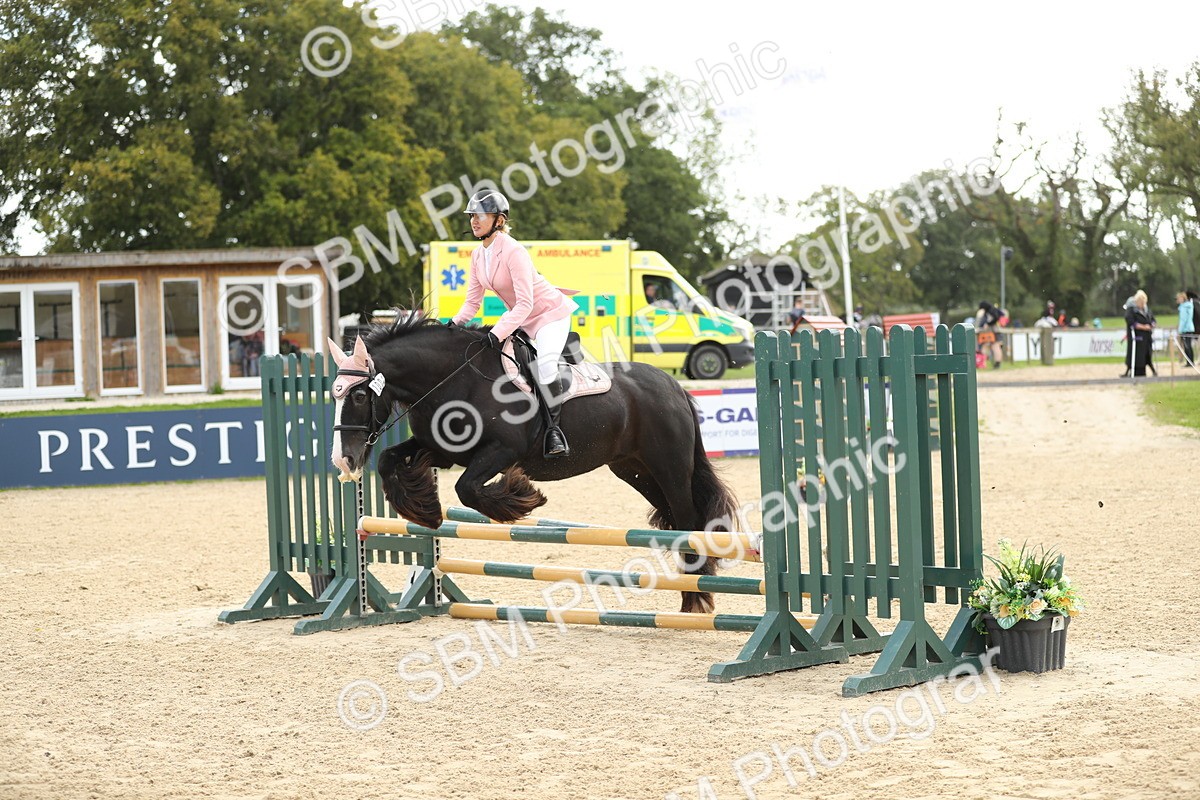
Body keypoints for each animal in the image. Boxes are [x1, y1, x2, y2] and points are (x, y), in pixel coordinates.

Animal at [327, 312, 739, 613]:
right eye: (335, 395)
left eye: (360, 395)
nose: (343, 460)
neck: (453, 380)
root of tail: (673, 386)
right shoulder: (442, 451)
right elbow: (389, 461)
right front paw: (425, 509)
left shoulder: (500, 451)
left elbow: (467, 488)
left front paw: (521, 497)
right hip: (634, 470)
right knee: (672, 517)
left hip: (670, 467)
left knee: (688, 520)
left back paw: (696, 598)